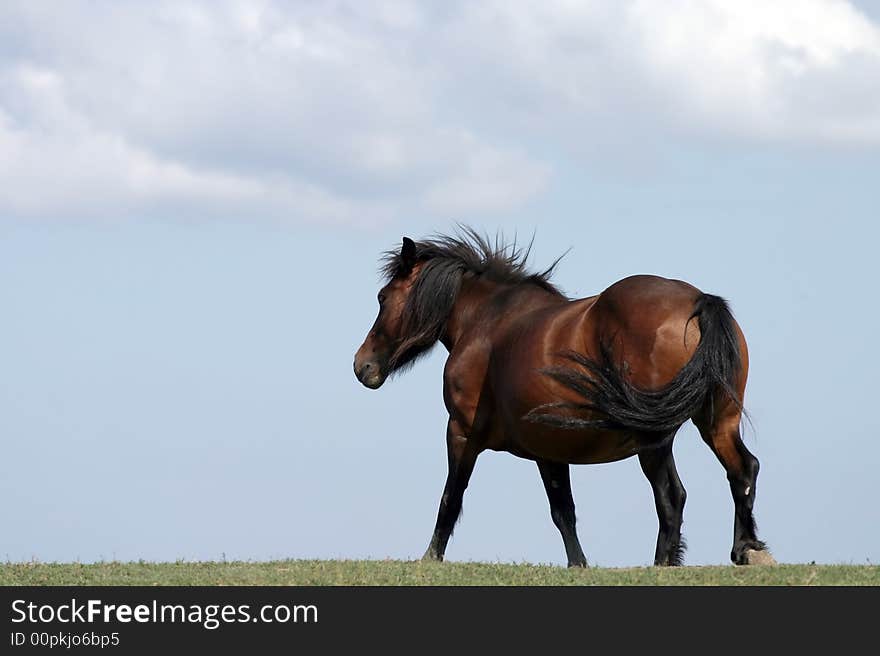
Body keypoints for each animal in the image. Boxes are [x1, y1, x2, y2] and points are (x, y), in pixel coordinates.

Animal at [350, 228, 768, 568]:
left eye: (383, 297)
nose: (362, 365)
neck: (487, 323)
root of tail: (699, 301)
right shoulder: (548, 449)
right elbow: (563, 510)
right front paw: (578, 565)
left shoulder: (461, 432)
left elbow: (451, 496)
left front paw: (430, 557)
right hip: (716, 422)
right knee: (742, 470)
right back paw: (746, 550)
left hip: (654, 439)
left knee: (671, 495)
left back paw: (664, 563)